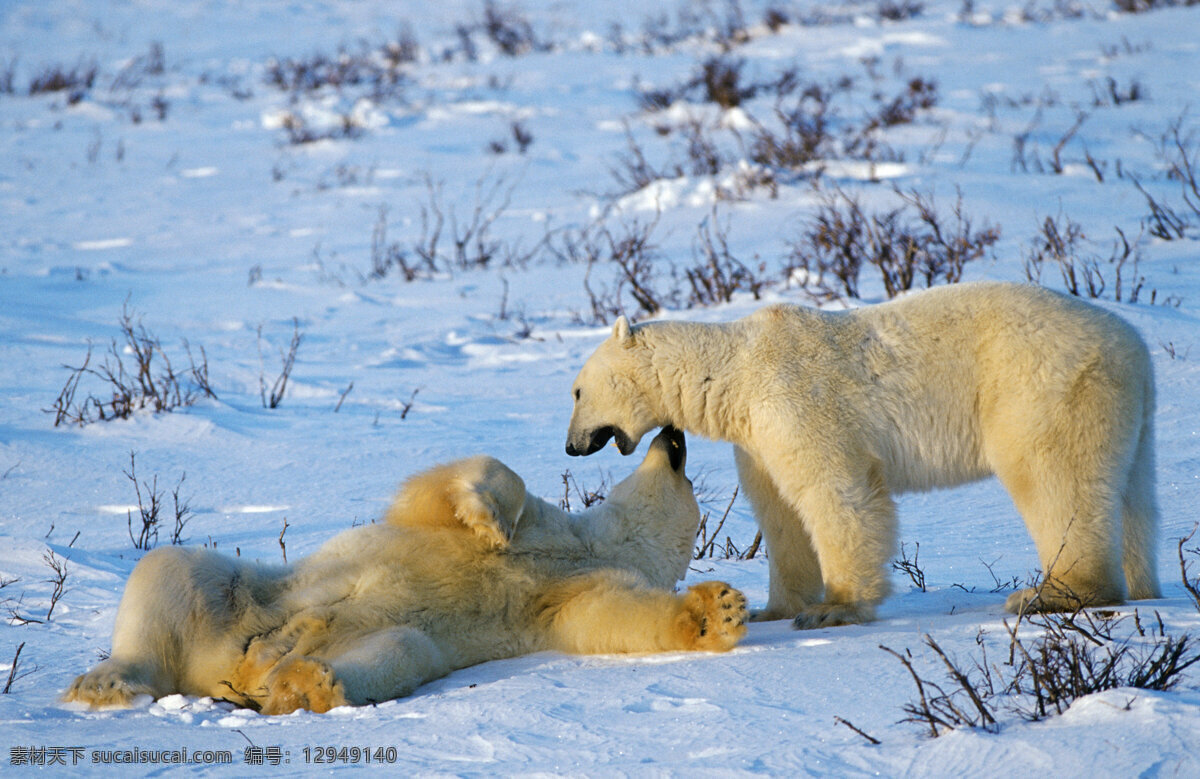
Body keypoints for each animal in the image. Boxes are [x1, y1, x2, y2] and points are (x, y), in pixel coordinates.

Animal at [63, 427, 747, 714]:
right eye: (685, 466)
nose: (674, 433)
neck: (586, 547)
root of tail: (226, 668)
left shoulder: (569, 596)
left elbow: (615, 619)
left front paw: (719, 612)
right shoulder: (542, 527)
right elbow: (469, 483)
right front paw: (488, 523)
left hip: (367, 639)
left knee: (395, 650)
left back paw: (301, 686)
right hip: (248, 593)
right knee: (168, 568)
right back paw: (105, 682)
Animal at [565, 281, 1161, 629]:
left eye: (574, 391)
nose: (570, 446)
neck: (735, 371)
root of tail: (1134, 344)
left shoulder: (796, 400)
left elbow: (836, 493)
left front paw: (837, 607)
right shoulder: (758, 438)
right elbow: (780, 512)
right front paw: (773, 608)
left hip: (1038, 387)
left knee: (1053, 476)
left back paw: (1053, 594)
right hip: (1122, 410)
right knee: (1132, 494)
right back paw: (1144, 584)